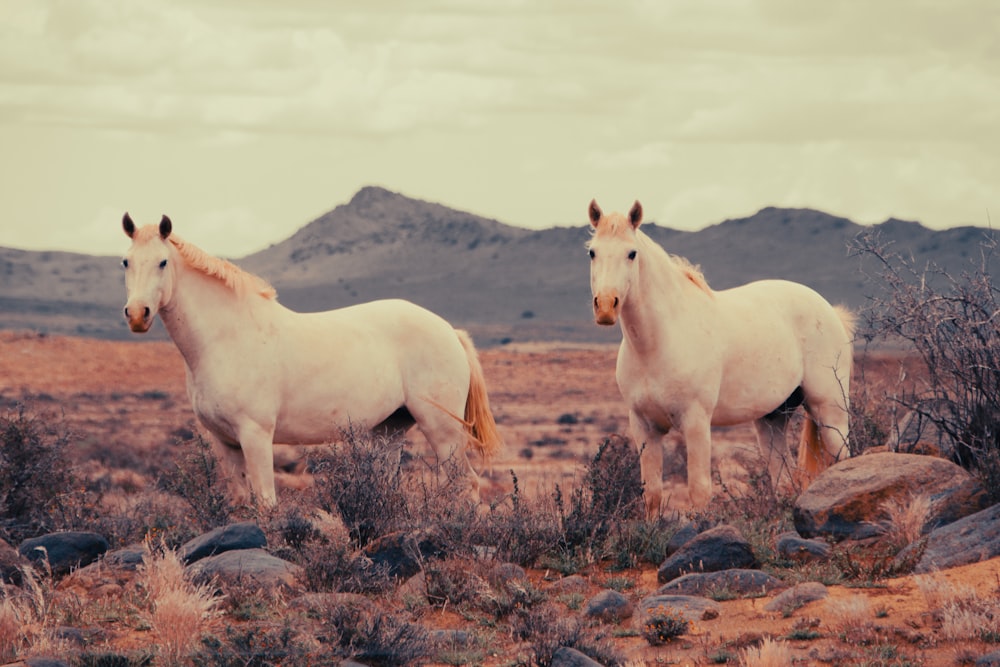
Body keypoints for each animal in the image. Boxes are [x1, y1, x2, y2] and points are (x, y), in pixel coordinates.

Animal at [121, 214, 504, 506]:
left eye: (162, 262)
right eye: (126, 261)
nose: (137, 315)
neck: (225, 338)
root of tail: (449, 330)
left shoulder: (255, 436)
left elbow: (266, 502)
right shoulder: (225, 442)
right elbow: (242, 502)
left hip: (442, 430)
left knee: (466, 484)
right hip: (389, 429)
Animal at [584, 201, 852, 516]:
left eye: (631, 253)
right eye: (592, 252)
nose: (605, 307)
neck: (660, 341)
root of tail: (830, 310)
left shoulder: (696, 423)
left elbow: (699, 491)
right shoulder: (643, 426)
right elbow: (652, 494)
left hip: (830, 410)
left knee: (843, 459)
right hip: (772, 418)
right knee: (783, 480)